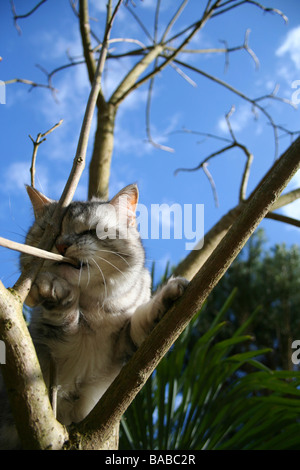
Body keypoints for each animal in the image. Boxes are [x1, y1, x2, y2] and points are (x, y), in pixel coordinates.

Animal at [0, 183, 188, 448]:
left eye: (90, 230)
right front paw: (51, 288)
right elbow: (65, 314)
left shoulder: (123, 349)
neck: (91, 307)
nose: (62, 246)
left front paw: (169, 296)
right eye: (52, 231)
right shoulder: (53, 346)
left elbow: (141, 323)